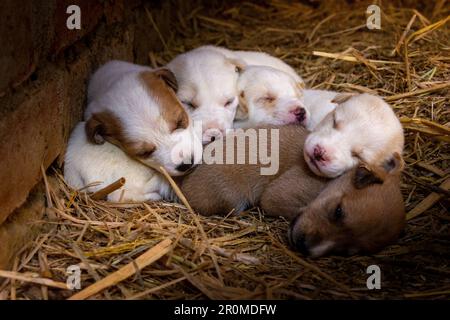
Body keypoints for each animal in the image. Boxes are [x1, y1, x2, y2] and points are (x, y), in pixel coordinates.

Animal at [179, 125, 404, 258]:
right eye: (338, 211)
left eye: (347, 252)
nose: (303, 246)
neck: (327, 184)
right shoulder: (277, 196)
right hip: (232, 199)